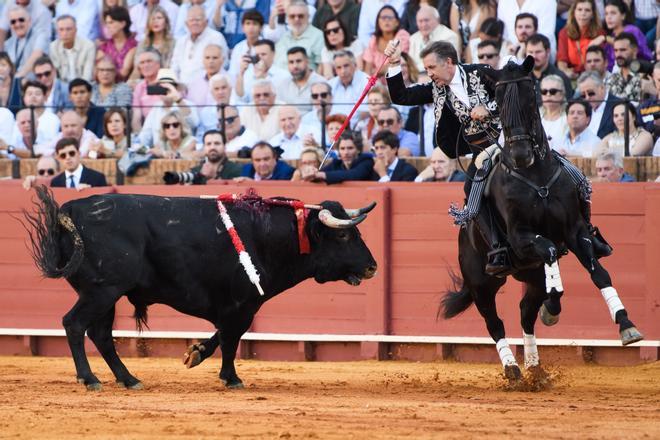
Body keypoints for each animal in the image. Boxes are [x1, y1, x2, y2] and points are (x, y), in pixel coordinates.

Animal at [24, 187, 376, 390]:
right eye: (344, 235)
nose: (372, 267)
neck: (266, 235)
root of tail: (71, 209)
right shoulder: (241, 304)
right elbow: (232, 338)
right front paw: (231, 378)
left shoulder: (235, 306)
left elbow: (222, 334)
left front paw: (195, 354)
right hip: (102, 291)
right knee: (74, 324)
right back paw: (90, 379)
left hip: (105, 295)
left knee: (100, 334)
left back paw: (129, 379)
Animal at [440, 56, 640, 380]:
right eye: (498, 100)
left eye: (531, 98)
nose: (521, 154)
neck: (535, 177)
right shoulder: (522, 238)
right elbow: (549, 254)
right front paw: (553, 309)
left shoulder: (576, 231)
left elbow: (598, 273)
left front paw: (627, 325)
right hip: (481, 281)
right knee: (494, 322)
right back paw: (512, 369)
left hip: (529, 275)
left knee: (525, 312)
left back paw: (534, 369)